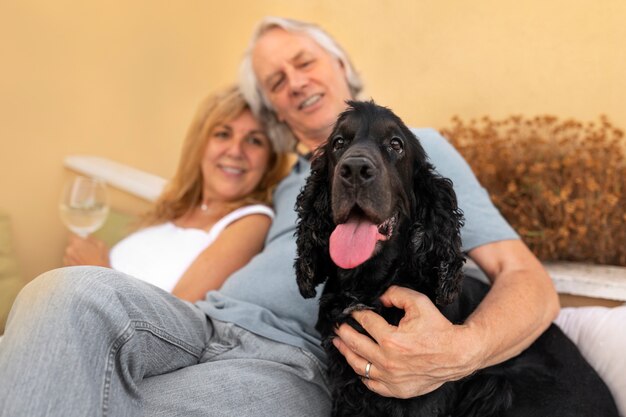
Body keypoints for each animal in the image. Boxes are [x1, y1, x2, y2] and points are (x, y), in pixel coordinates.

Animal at [292, 101, 616, 416]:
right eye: (338, 143)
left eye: (396, 144)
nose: (355, 168)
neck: (367, 284)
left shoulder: (421, 392)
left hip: (498, 388)